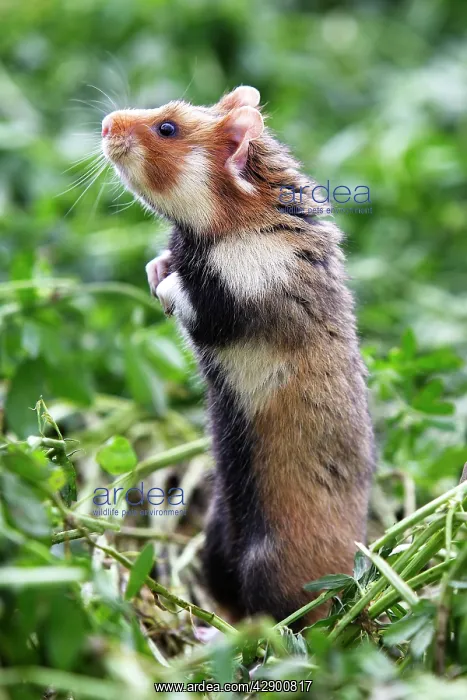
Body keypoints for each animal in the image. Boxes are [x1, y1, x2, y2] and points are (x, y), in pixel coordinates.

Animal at [102, 86, 375, 628]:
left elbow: (190, 297)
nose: (104, 125)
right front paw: (155, 267)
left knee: (278, 621)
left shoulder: (242, 292)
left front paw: (164, 284)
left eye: (167, 128)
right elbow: (166, 264)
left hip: (270, 561)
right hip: (215, 538)